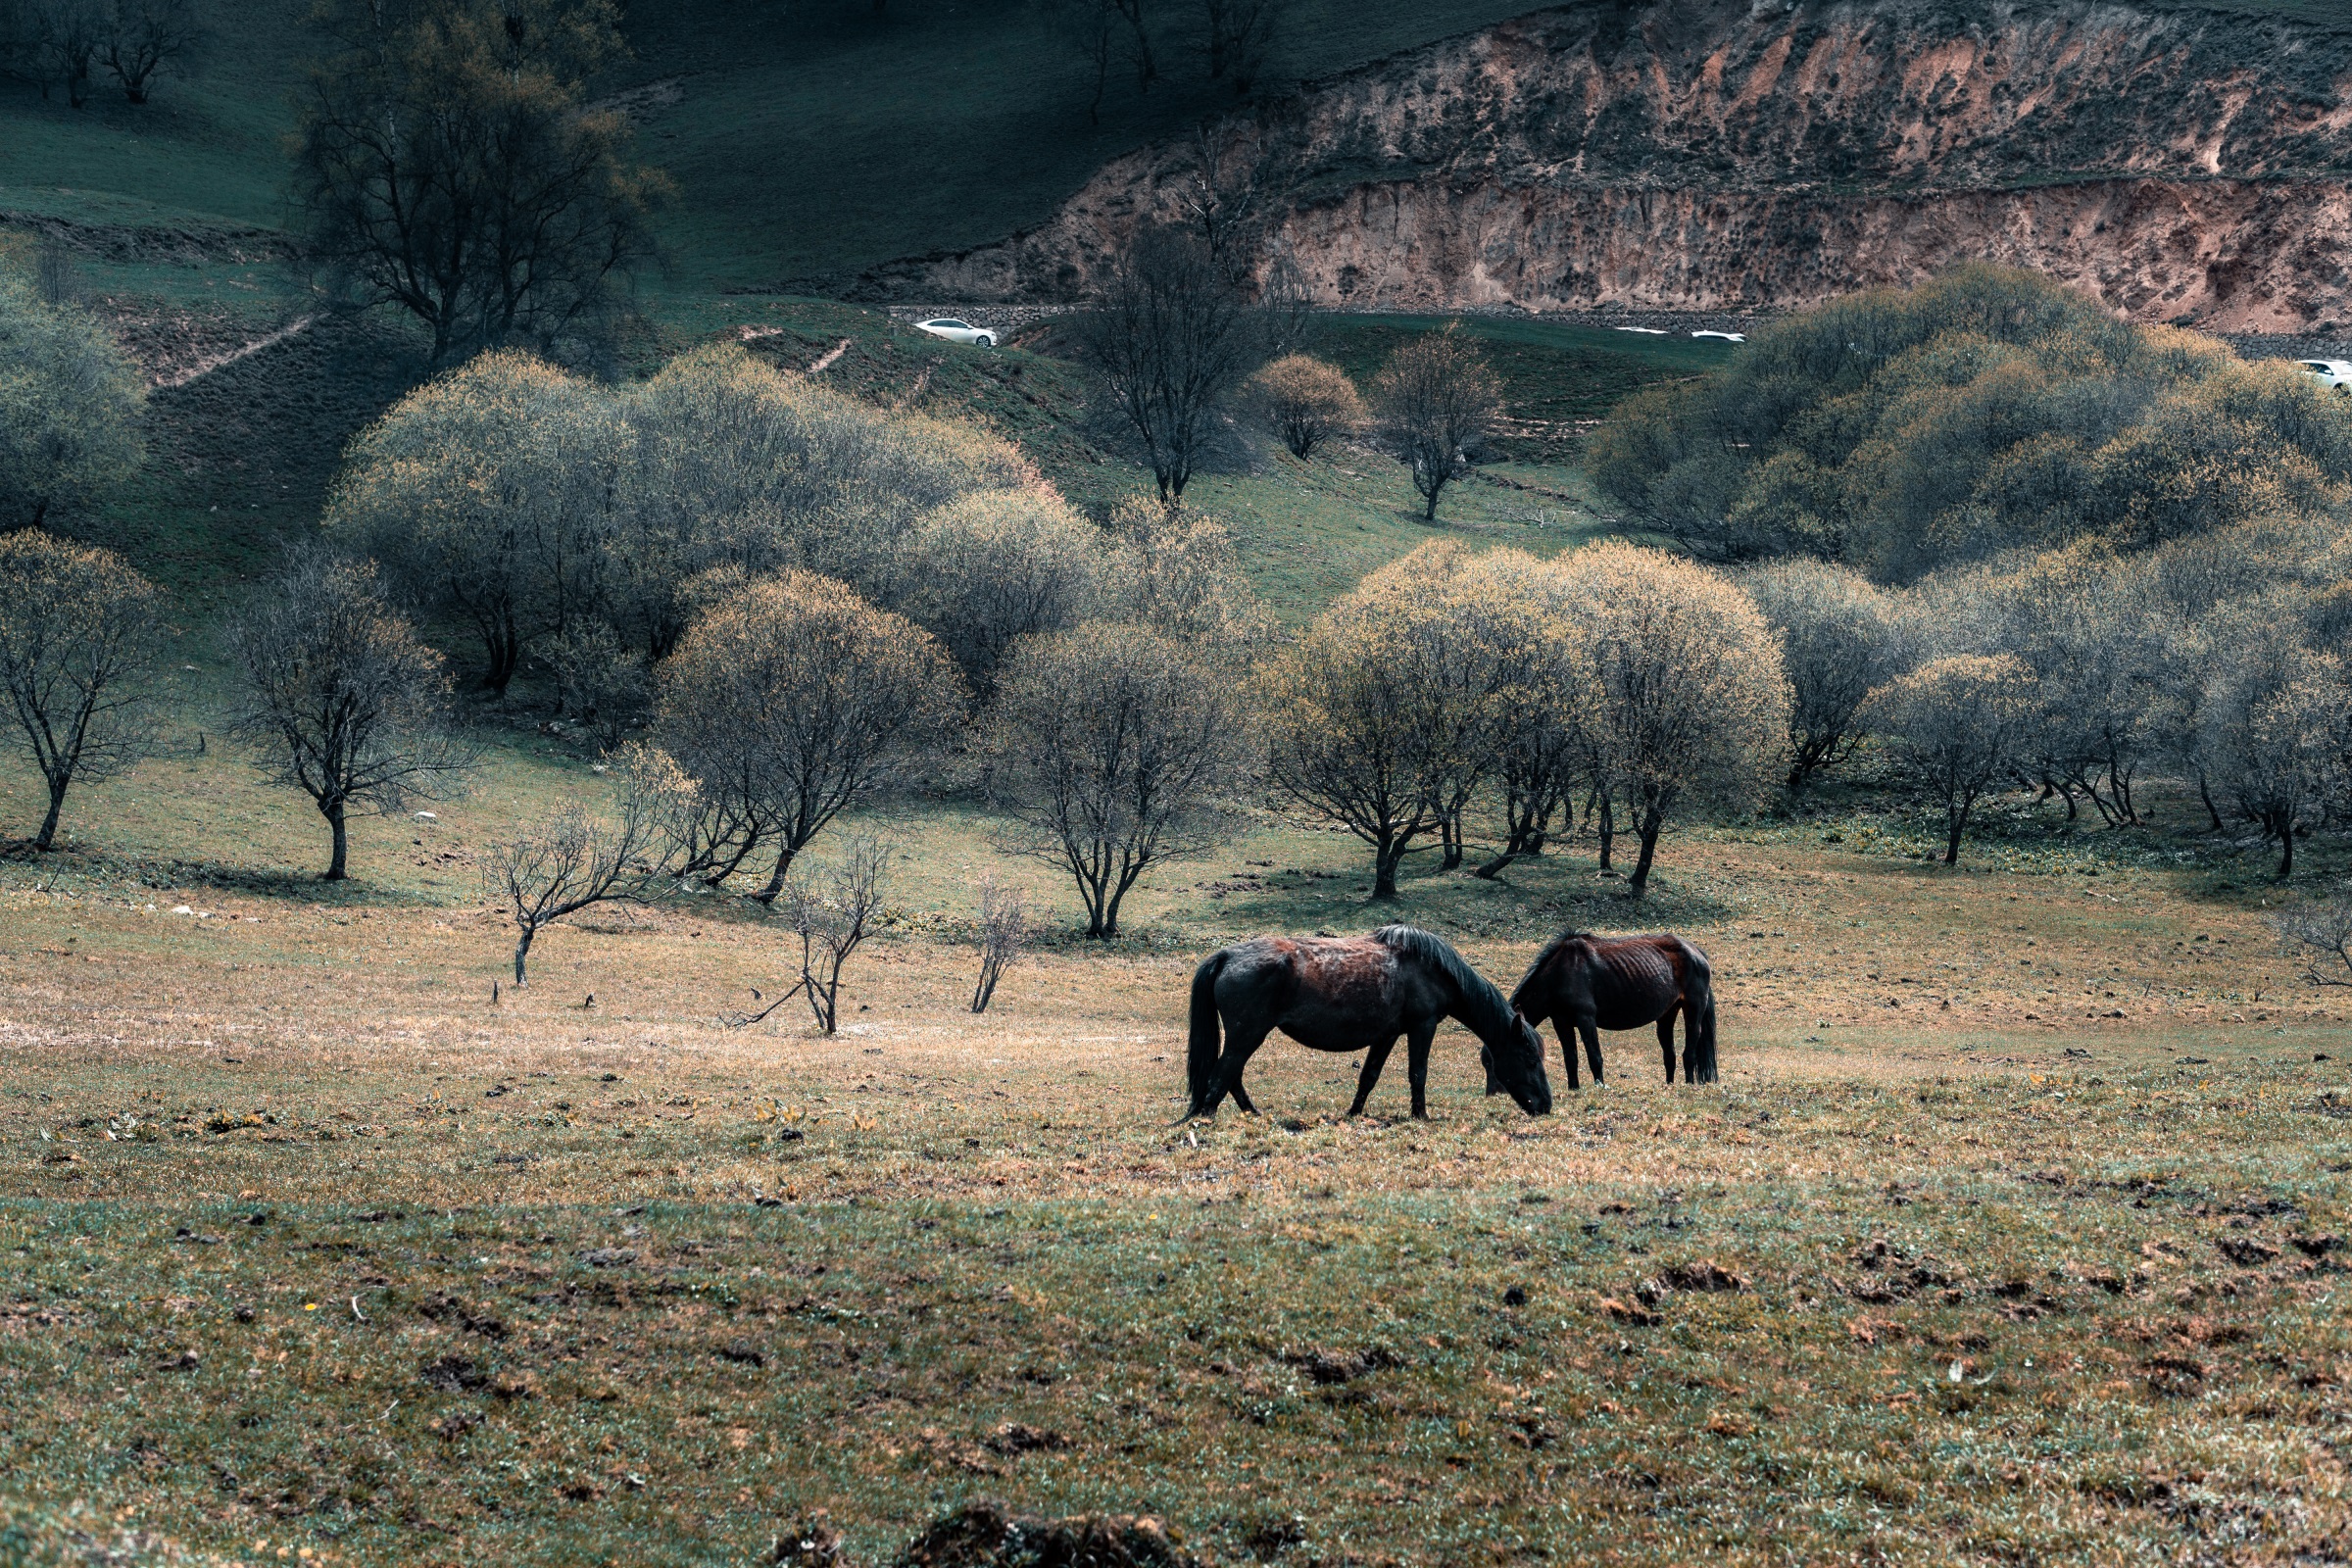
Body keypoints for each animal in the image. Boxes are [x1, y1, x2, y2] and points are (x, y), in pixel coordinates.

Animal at [1185, 926, 1552, 1123]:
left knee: (1231, 1075)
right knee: (1224, 1073)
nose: (1546, 1106)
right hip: (1247, 1034)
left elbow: (1369, 1076)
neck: (1433, 968)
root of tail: (1227, 956)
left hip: (1246, 1035)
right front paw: (1421, 1115)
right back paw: (1209, 1117)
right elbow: (1418, 1073)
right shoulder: (1423, 1026)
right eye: (1529, 1060)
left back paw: (1251, 1114)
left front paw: (1354, 1112)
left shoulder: (1387, 1034)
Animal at [1495, 930, 1721, 1091]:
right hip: (1667, 1014)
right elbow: (1571, 1058)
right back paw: (1669, 1086)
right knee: (1670, 1055)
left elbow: (1595, 1057)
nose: (1500, 1088)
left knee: (1689, 1052)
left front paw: (1600, 1087)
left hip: (1693, 1009)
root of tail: (1697, 952)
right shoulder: (1561, 1022)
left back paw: (1689, 1085)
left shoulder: (1586, 1019)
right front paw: (1573, 1089)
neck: (1559, 974)